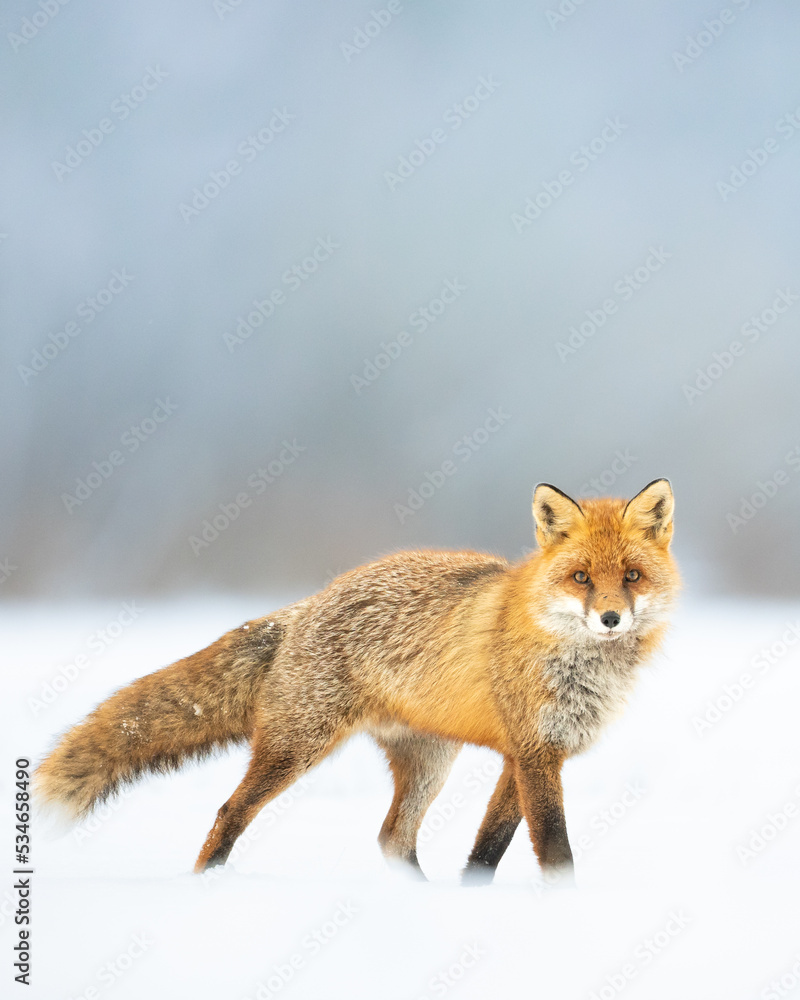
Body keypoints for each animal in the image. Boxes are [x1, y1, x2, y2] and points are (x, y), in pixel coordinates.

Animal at [35, 478, 678, 884]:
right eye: (580, 577)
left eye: (631, 576)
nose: (611, 618)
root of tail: (308, 603)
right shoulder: (533, 753)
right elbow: (555, 847)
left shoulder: (533, 754)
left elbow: (487, 851)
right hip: (297, 748)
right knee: (228, 814)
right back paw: (204, 889)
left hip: (429, 761)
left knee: (392, 838)